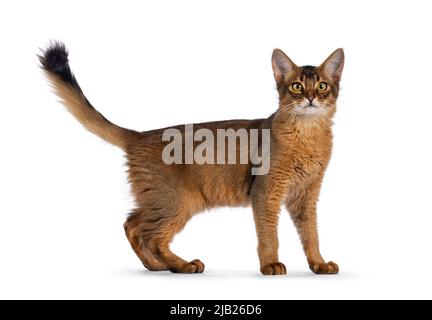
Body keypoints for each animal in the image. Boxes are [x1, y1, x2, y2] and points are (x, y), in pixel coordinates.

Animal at [39, 42, 344, 276]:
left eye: (322, 86)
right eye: (296, 87)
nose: (310, 98)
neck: (307, 136)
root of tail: (139, 136)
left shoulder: (306, 195)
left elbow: (311, 234)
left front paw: (318, 264)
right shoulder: (266, 191)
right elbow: (269, 235)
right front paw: (270, 265)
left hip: (161, 200)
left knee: (132, 225)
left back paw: (156, 266)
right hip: (178, 201)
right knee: (151, 236)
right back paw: (183, 266)